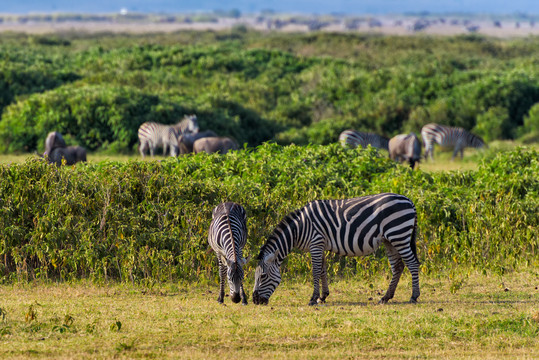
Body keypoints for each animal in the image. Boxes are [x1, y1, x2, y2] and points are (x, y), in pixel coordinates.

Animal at [253, 193, 422, 306]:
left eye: (262, 276)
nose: (255, 301)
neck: (299, 229)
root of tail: (409, 200)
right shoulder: (320, 245)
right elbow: (322, 270)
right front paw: (323, 296)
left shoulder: (316, 242)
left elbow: (315, 271)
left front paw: (313, 299)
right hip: (390, 240)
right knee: (398, 267)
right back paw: (386, 297)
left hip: (399, 234)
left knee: (413, 264)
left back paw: (414, 296)